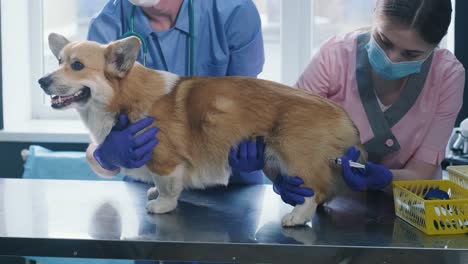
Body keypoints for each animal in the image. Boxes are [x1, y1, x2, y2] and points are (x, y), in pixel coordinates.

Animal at [38, 33, 366, 227]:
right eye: (59, 61)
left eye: (77, 65)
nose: (41, 81)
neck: (124, 97)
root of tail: (340, 114)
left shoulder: (166, 161)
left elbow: (169, 188)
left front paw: (162, 204)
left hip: (295, 158)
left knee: (314, 191)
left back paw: (297, 216)